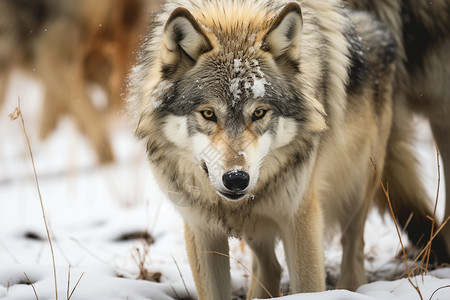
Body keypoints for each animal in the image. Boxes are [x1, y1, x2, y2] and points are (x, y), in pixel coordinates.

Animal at [127, 0, 398, 298]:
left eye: (258, 113)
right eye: (208, 114)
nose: (236, 179)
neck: (234, 16)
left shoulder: (301, 217)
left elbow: (309, 286)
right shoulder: (201, 230)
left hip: (356, 191)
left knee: (353, 251)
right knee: (271, 267)